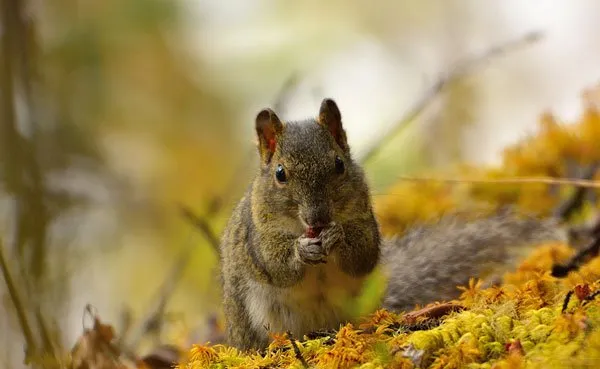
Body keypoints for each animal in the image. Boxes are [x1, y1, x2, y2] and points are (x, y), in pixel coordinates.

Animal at [218, 98, 564, 350]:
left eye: (339, 164)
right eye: (280, 173)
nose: (319, 218)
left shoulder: (365, 220)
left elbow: (363, 255)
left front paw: (338, 236)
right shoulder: (257, 234)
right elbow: (275, 265)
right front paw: (302, 250)